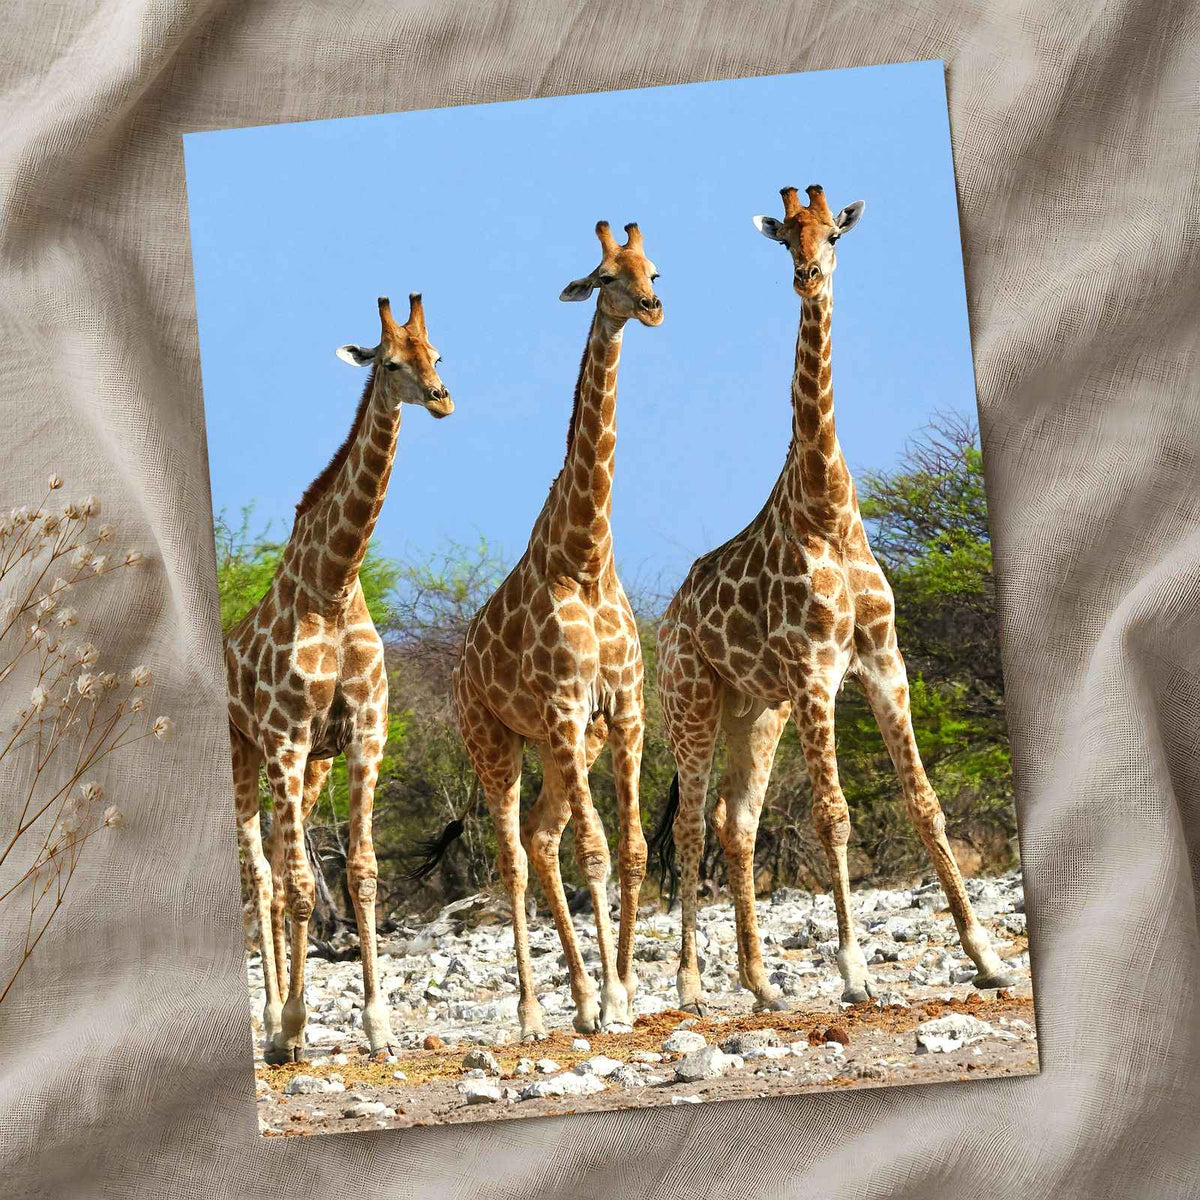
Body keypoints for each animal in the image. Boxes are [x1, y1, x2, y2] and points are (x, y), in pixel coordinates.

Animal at [227, 293, 452, 1063]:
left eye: (434, 353)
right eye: (390, 363)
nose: (441, 398)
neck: (332, 584)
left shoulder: (363, 735)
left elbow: (361, 872)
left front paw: (378, 1025)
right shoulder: (288, 738)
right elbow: (298, 884)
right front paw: (294, 1024)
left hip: (309, 766)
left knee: (278, 872)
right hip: (247, 755)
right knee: (262, 877)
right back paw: (273, 1026)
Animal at [418, 221, 662, 1041]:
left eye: (652, 269)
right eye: (604, 276)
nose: (651, 308)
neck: (584, 556)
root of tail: (458, 669)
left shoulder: (624, 710)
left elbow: (632, 849)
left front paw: (624, 992)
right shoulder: (560, 708)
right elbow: (596, 851)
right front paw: (615, 1000)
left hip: (568, 746)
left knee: (540, 837)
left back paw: (579, 999)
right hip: (493, 742)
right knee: (516, 855)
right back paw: (531, 1012)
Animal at [654, 185, 1016, 1015]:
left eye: (832, 233)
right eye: (787, 237)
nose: (807, 276)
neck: (828, 508)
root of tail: (669, 616)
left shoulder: (883, 660)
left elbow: (925, 802)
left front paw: (986, 957)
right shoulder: (818, 669)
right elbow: (833, 815)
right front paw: (853, 971)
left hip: (756, 709)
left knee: (737, 822)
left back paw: (761, 985)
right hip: (691, 699)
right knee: (689, 827)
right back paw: (689, 986)